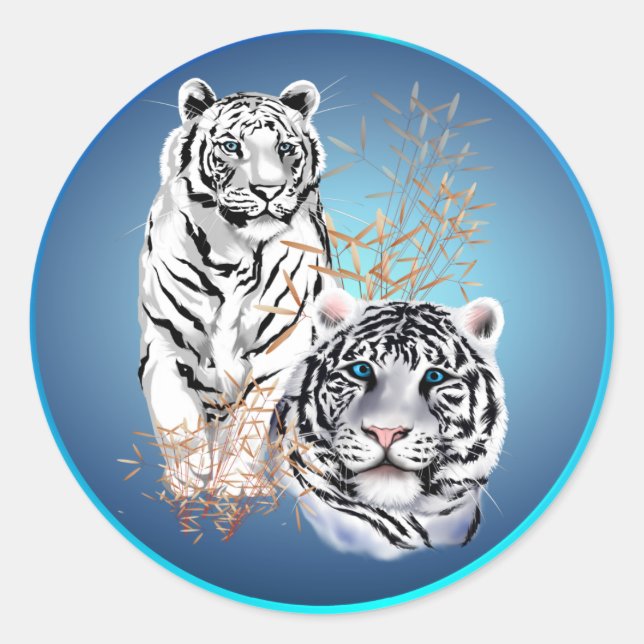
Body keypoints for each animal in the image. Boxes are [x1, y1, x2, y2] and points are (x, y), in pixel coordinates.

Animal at [138, 77, 334, 498]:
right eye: (231, 146)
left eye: (285, 148)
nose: (268, 190)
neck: (233, 255)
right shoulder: (165, 346)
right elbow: (178, 423)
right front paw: (190, 484)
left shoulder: (281, 350)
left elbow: (250, 423)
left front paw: (233, 487)